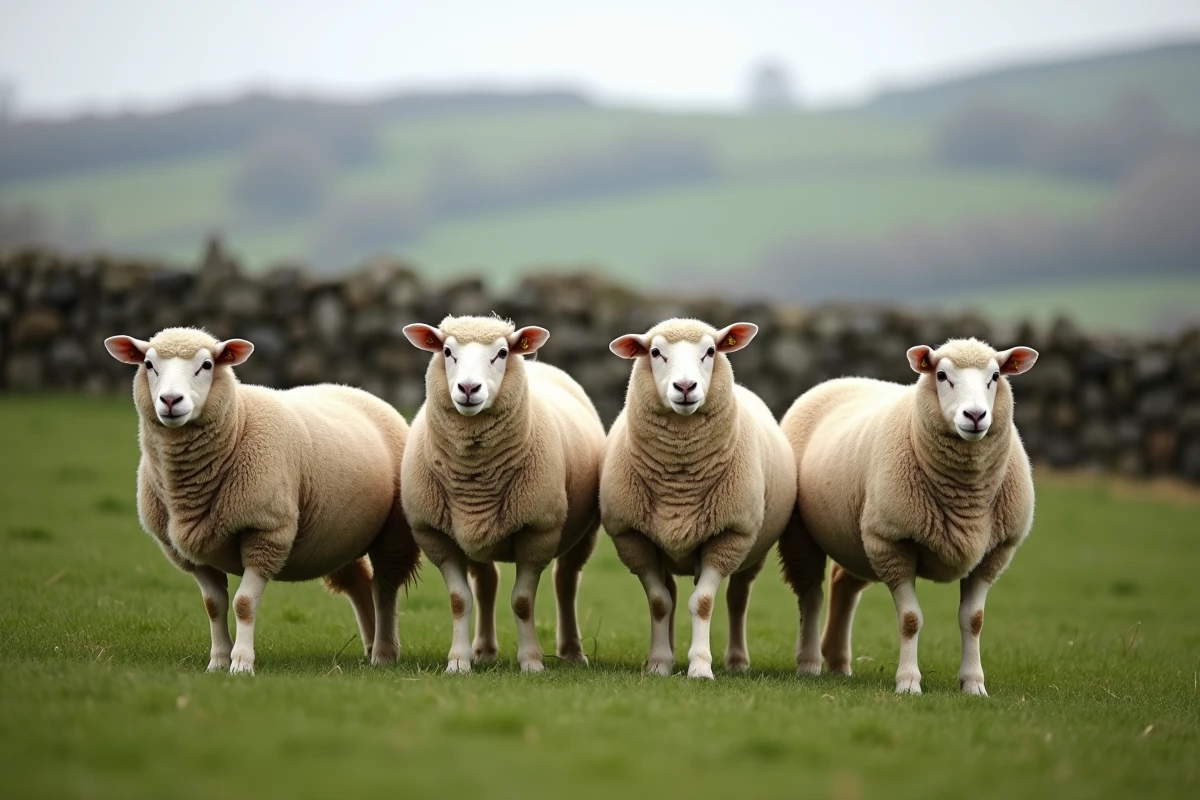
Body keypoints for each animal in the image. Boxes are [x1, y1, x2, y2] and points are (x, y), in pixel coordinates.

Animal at [103, 327, 419, 675]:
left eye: (207, 365)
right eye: (148, 364)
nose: (171, 400)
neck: (238, 423)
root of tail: (355, 390)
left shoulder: (266, 532)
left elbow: (243, 604)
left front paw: (241, 663)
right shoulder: (188, 551)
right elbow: (213, 605)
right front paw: (217, 661)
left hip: (392, 534)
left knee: (384, 589)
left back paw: (384, 652)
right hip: (340, 534)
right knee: (360, 584)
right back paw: (370, 645)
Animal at [400, 315, 605, 674]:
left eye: (502, 353)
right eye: (447, 351)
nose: (469, 389)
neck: (475, 478)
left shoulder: (538, 531)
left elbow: (522, 602)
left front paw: (532, 662)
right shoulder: (435, 534)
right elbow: (459, 600)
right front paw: (458, 661)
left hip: (585, 531)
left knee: (566, 582)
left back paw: (572, 651)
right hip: (472, 534)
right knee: (486, 584)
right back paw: (483, 649)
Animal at [600, 319, 796, 680]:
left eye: (711, 351)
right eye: (655, 352)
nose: (685, 386)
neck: (680, 486)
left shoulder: (730, 535)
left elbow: (703, 603)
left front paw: (701, 667)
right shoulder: (633, 538)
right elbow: (660, 602)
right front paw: (659, 663)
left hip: (753, 548)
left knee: (738, 598)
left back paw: (737, 660)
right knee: (673, 593)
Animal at [777, 337, 1039, 695]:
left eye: (996, 376)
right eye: (941, 375)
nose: (975, 415)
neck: (965, 498)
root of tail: (841, 379)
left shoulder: (994, 553)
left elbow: (973, 620)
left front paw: (974, 685)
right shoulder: (893, 543)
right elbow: (910, 619)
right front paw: (908, 683)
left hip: (858, 541)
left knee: (842, 584)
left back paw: (839, 663)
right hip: (806, 535)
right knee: (810, 595)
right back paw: (809, 662)